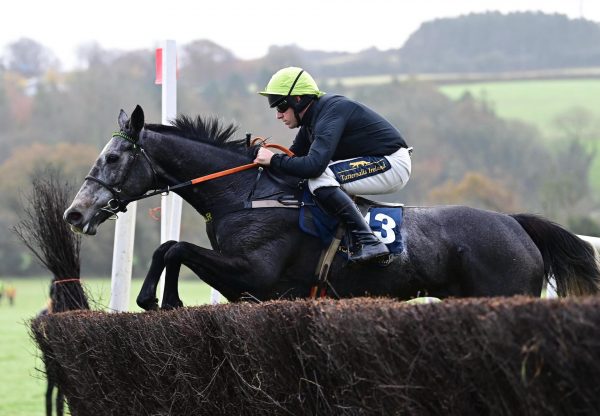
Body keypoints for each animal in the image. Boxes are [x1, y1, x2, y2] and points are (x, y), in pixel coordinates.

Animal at [63, 107, 596, 308]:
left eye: (113, 158)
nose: (75, 213)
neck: (247, 194)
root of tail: (515, 223)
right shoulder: (251, 289)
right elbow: (171, 248)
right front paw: (164, 299)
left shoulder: (255, 274)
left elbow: (173, 248)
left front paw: (158, 298)